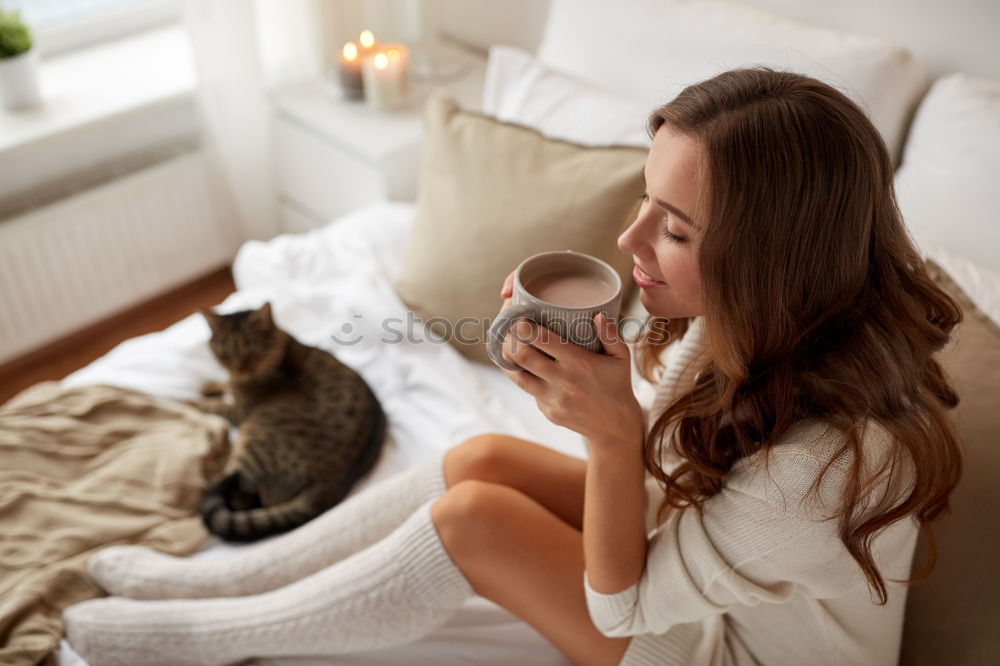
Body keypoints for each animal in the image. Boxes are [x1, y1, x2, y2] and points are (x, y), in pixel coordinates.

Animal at [193, 300, 384, 540]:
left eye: (253, 351)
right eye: (225, 354)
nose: (240, 369)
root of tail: (330, 483)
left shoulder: (240, 411)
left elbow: (209, 405)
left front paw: (186, 401)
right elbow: (224, 385)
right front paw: (209, 385)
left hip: (252, 439)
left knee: (240, 497)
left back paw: (209, 467)